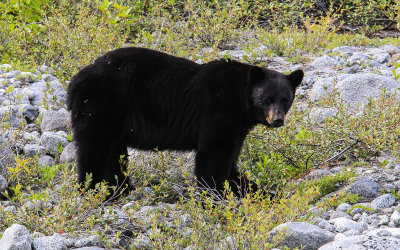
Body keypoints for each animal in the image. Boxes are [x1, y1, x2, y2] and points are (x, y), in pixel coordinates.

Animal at [67, 46, 302, 195]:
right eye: (267, 99)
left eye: (285, 99)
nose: (278, 120)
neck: (240, 99)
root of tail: (74, 81)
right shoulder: (218, 110)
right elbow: (214, 155)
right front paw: (214, 195)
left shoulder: (238, 126)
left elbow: (231, 161)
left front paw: (263, 193)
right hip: (100, 105)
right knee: (94, 150)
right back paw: (91, 190)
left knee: (115, 153)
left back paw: (121, 190)